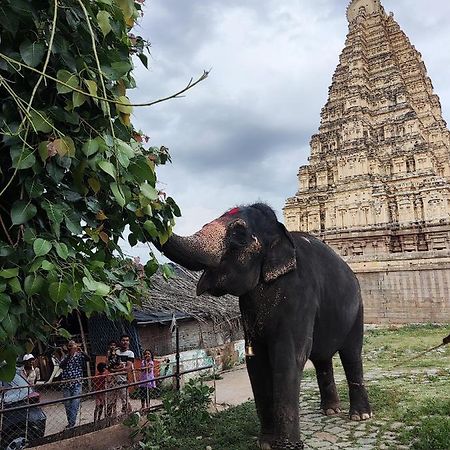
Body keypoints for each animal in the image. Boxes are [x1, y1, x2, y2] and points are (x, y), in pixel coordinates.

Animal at [160, 205, 370, 450]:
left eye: (239, 233)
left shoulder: (299, 295)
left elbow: (288, 358)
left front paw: (287, 446)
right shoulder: (248, 307)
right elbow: (256, 361)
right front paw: (267, 444)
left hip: (358, 309)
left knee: (352, 354)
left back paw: (359, 416)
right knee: (322, 359)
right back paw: (330, 411)